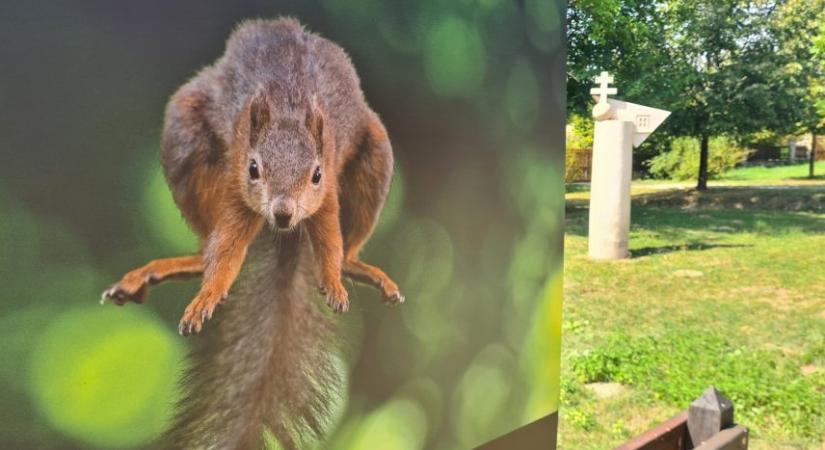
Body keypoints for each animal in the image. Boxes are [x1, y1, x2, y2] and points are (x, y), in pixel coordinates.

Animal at [101, 16, 404, 446]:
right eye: (254, 169)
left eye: (315, 174)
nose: (283, 213)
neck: (289, 107)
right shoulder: (237, 187)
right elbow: (227, 247)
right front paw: (208, 295)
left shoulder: (327, 191)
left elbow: (329, 239)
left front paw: (333, 282)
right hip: (184, 135)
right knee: (205, 251)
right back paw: (178, 266)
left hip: (377, 154)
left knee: (348, 248)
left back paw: (357, 268)